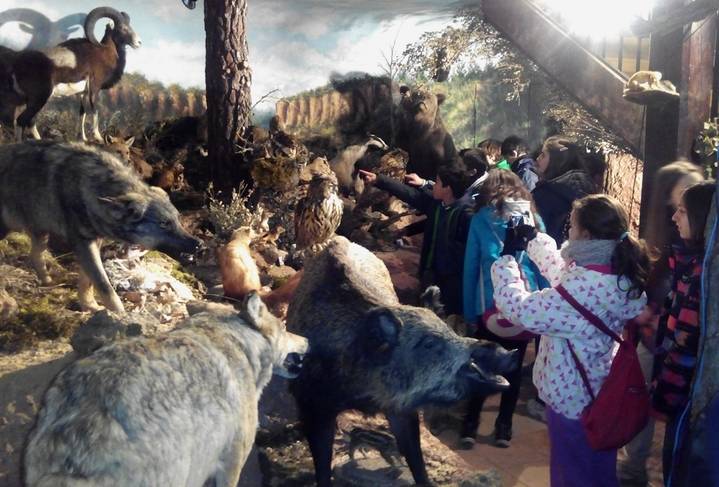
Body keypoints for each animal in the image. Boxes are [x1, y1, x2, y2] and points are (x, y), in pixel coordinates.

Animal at [4, 7, 141, 142]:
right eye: (123, 28)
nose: (138, 42)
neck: (104, 51)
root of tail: (17, 65)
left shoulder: (82, 94)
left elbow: (82, 113)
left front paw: (83, 138)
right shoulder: (94, 88)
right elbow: (95, 111)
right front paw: (98, 137)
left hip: (33, 101)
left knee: (29, 121)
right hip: (39, 99)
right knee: (22, 120)